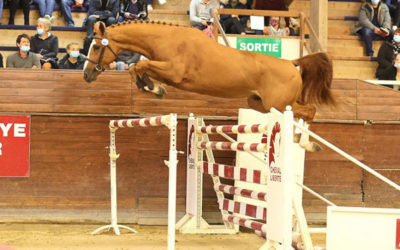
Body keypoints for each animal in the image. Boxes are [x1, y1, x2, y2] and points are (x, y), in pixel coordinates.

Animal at [83, 21, 334, 122]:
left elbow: (139, 66)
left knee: (309, 111)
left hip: (278, 104)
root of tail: (292, 62)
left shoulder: (174, 72)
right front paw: (152, 87)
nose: (86, 74)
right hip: (259, 103)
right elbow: (138, 68)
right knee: (304, 111)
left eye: (95, 46)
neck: (166, 39)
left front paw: (153, 88)